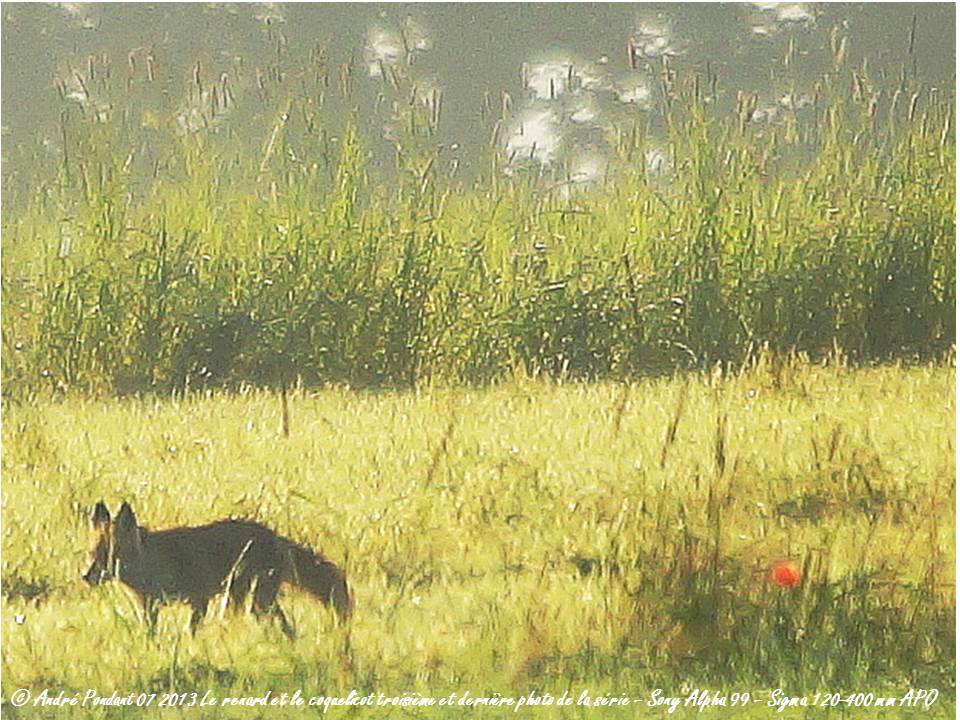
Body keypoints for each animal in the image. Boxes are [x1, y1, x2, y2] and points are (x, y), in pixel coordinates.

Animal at [83, 504, 352, 640]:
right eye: (92, 553)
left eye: (110, 555)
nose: (85, 576)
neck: (153, 562)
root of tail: (273, 534)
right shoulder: (148, 606)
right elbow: (151, 633)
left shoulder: (199, 599)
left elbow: (191, 631)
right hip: (258, 599)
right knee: (285, 625)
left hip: (248, 599)